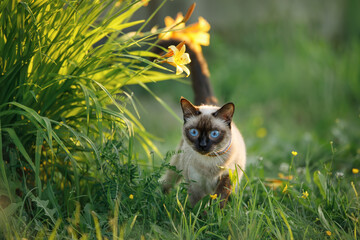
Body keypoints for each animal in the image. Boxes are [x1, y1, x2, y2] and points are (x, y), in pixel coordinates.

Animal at [156, 39, 246, 206]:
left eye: (214, 133)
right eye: (194, 132)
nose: (203, 145)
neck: (209, 162)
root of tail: (209, 104)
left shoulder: (226, 179)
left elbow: (218, 202)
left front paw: (214, 212)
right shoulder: (195, 186)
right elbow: (196, 206)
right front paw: (199, 214)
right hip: (175, 168)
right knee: (166, 184)